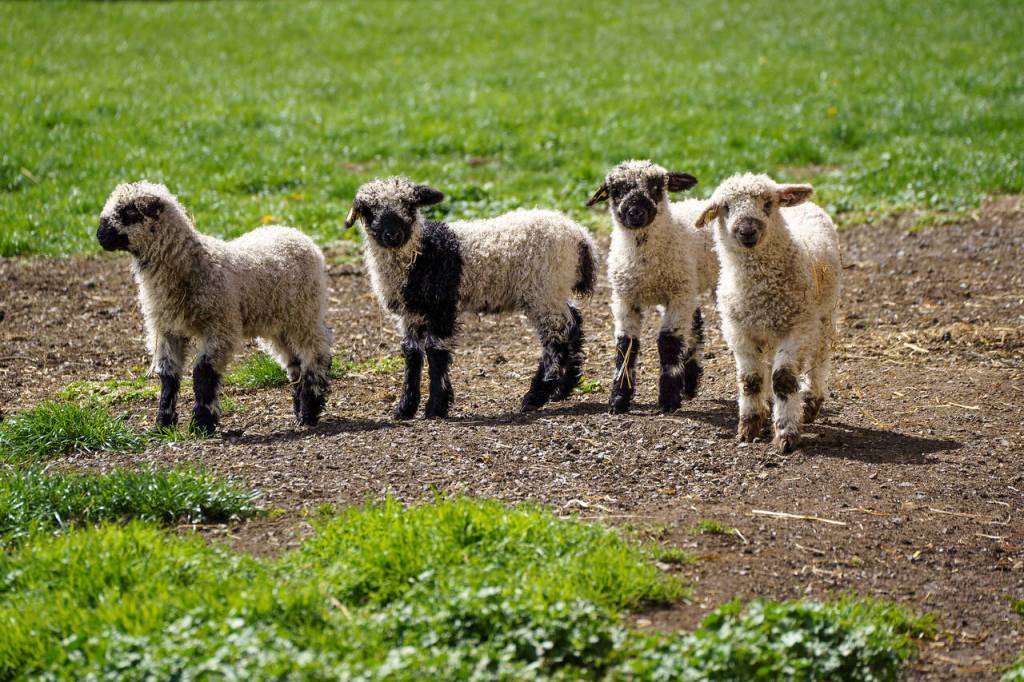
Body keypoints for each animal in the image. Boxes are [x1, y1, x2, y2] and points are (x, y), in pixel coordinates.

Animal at [96, 181, 333, 434]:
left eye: (129, 212)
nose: (100, 235)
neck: (194, 263)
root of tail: (296, 233)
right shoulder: (166, 329)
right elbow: (168, 376)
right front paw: (163, 423)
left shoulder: (220, 326)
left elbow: (204, 372)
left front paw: (202, 422)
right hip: (277, 322)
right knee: (294, 362)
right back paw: (300, 410)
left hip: (304, 313)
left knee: (316, 354)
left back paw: (309, 411)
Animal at [345, 176, 598, 418]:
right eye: (368, 210)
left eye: (409, 205)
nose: (393, 235)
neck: (419, 252)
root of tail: (580, 235)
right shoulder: (411, 314)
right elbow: (412, 354)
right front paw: (405, 408)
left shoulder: (441, 305)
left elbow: (436, 351)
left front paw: (436, 407)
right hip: (556, 289)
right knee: (573, 324)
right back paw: (562, 389)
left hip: (544, 290)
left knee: (555, 338)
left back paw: (536, 396)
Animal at [586, 160, 717, 414]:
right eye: (616, 191)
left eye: (656, 187)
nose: (635, 212)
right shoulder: (625, 298)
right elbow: (626, 345)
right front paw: (619, 399)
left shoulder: (677, 296)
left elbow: (668, 342)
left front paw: (668, 400)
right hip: (688, 285)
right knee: (696, 323)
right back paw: (690, 383)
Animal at [696, 173, 840, 453]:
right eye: (725, 208)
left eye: (767, 204)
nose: (747, 231)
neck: (761, 289)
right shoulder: (738, 331)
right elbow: (750, 379)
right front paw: (750, 427)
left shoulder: (797, 328)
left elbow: (783, 378)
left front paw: (786, 433)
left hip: (823, 316)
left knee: (819, 359)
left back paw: (810, 402)